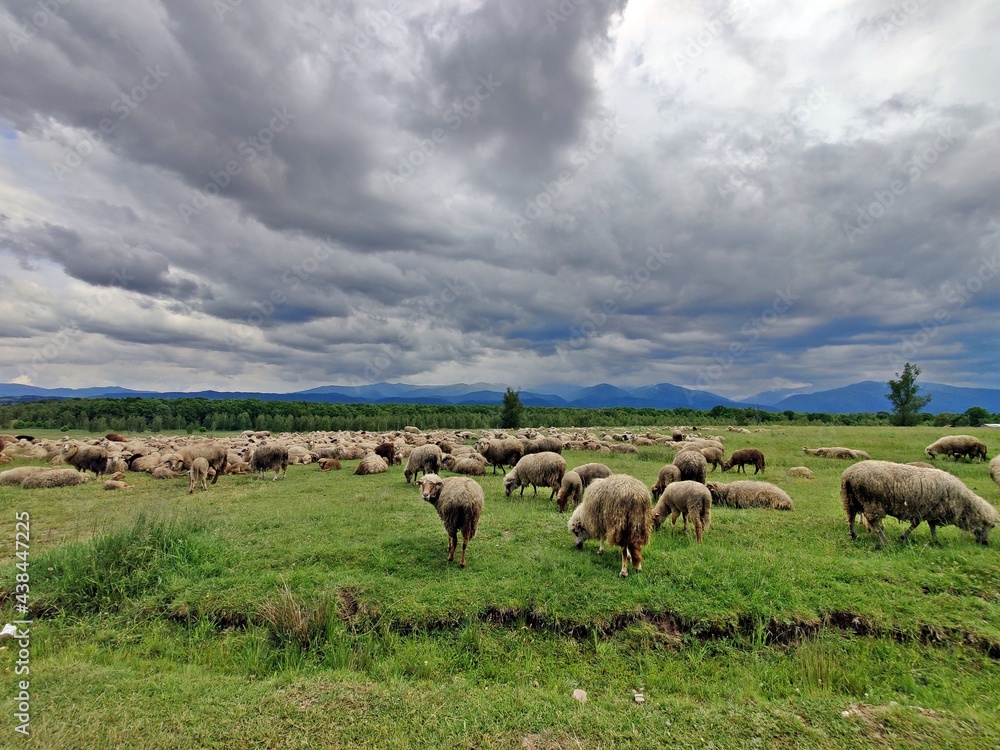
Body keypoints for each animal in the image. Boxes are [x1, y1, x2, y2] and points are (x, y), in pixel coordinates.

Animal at [840, 458, 996, 548]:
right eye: (987, 525)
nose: (985, 543)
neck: (962, 503)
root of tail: (849, 475)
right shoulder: (927, 510)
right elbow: (918, 525)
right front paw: (904, 537)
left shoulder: (930, 511)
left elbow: (930, 527)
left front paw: (935, 541)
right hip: (872, 501)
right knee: (873, 522)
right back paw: (884, 541)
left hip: (850, 499)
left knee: (851, 517)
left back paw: (853, 535)